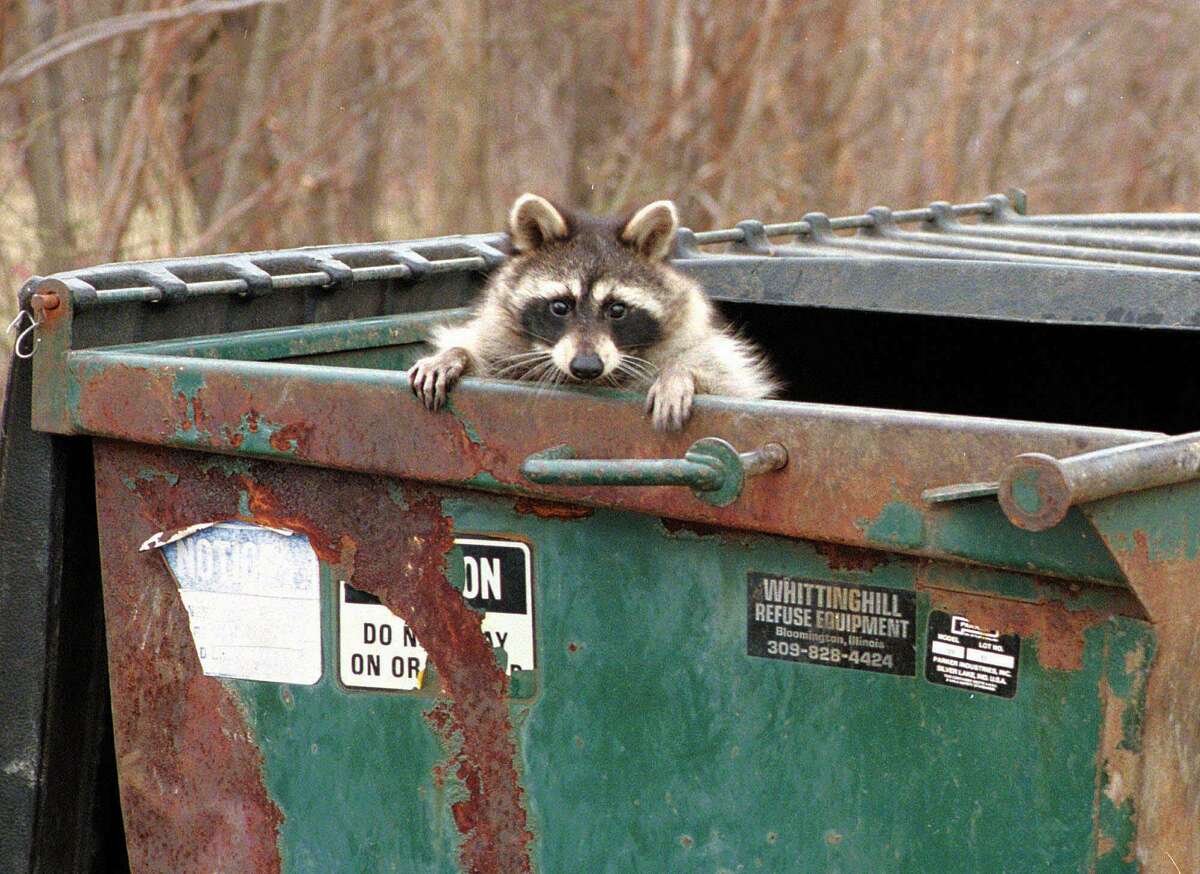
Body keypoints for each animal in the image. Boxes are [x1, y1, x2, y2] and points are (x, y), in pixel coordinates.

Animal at [405, 195, 777, 434]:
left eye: (617, 310)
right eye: (560, 306)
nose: (586, 367)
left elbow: (729, 383)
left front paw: (680, 373)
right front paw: (456, 354)